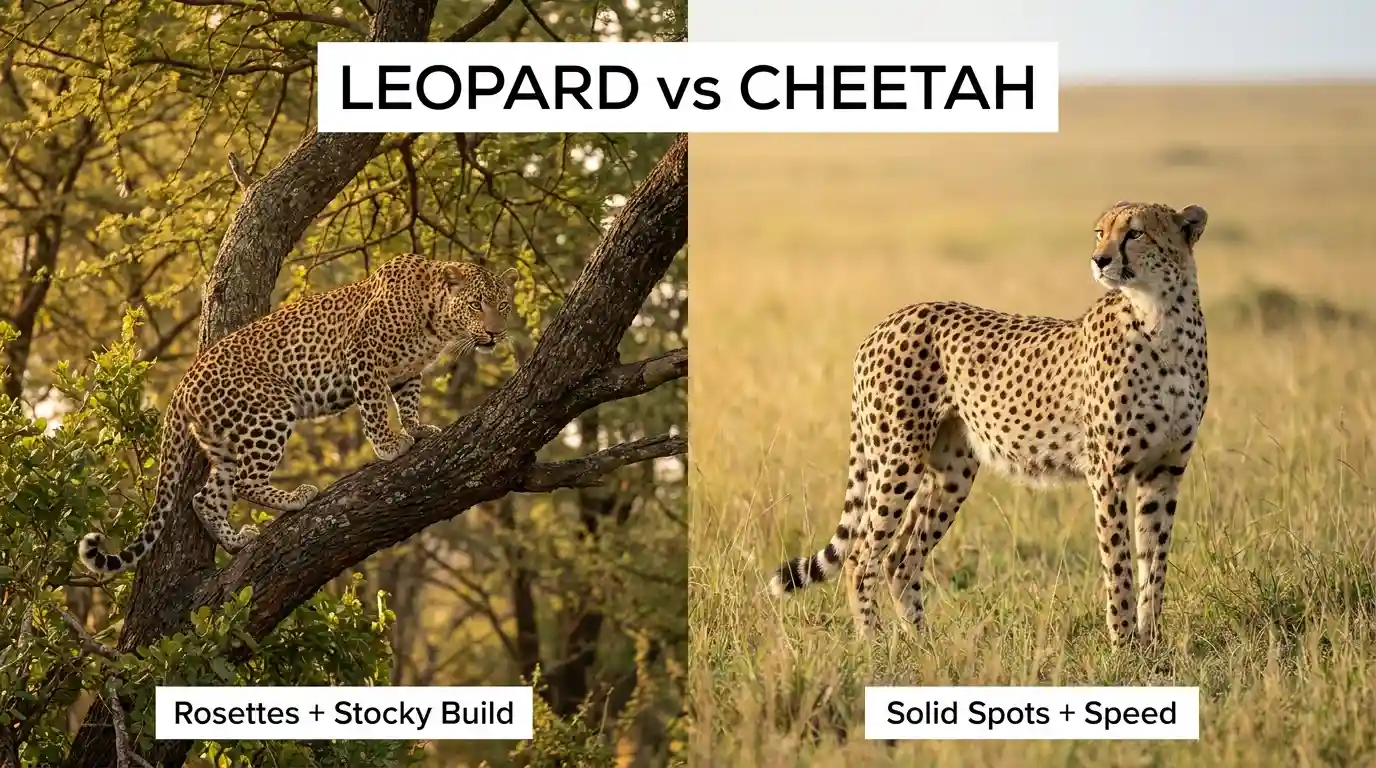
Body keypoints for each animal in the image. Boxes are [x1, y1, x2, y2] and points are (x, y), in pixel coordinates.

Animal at [78, 253, 517, 577]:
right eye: (477, 305)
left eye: (504, 306)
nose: (495, 333)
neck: (437, 321)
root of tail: (182, 387)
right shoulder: (363, 355)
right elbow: (375, 407)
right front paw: (390, 446)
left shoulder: (407, 372)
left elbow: (407, 402)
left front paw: (417, 428)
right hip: (269, 411)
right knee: (247, 481)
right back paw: (294, 499)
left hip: (225, 441)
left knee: (207, 495)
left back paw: (236, 541)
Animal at [769, 201, 1210, 648]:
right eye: (1101, 232)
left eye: (1135, 233)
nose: (1099, 260)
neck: (1161, 317)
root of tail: (888, 320)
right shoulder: (1108, 473)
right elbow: (1118, 563)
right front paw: (1123, 645)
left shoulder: (1164, 471)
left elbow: (1154, 562)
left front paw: (1150, 643)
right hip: (898, 458)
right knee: (861, 555)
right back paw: (874, 644)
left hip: (951, 472)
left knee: (900, 558)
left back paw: (926, 645)